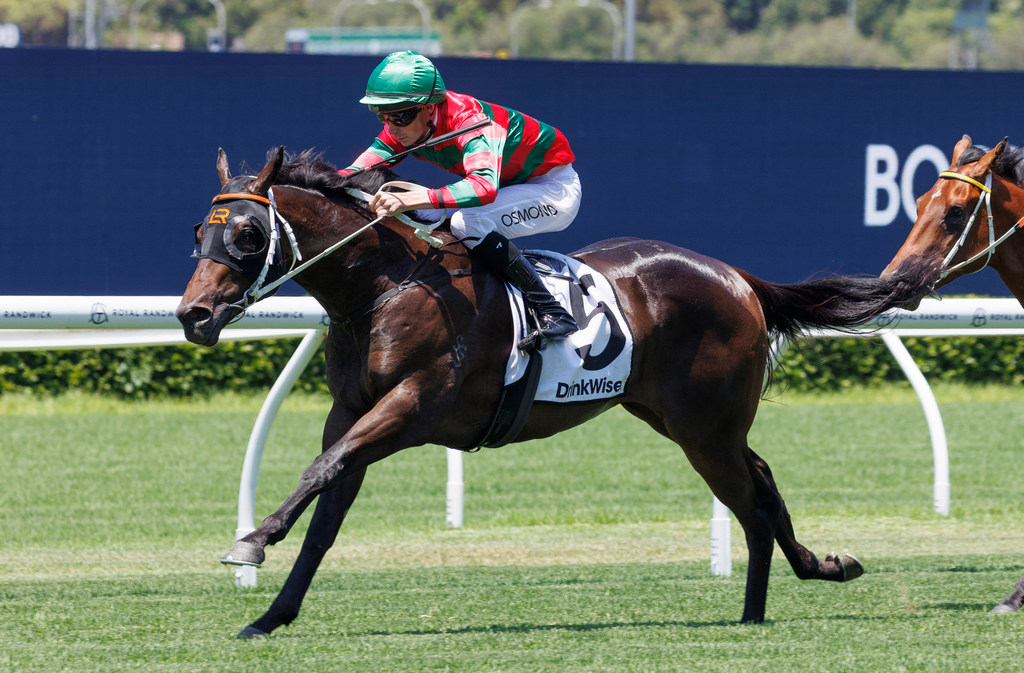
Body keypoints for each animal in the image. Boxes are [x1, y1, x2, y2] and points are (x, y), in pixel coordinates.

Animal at [177, 146, 929, 637]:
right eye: (198, 232)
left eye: (247, 233)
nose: (193, 315)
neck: (385, 287)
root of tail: (740, 278)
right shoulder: (353, 410)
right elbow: (327, 512)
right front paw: (271, 614)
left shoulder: (415, 405)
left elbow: (320, 471)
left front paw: (251, 541)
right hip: (682, 419)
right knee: (762, 482)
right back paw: (788, 588)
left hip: (704, 427)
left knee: (751, 498)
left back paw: (777, 595)